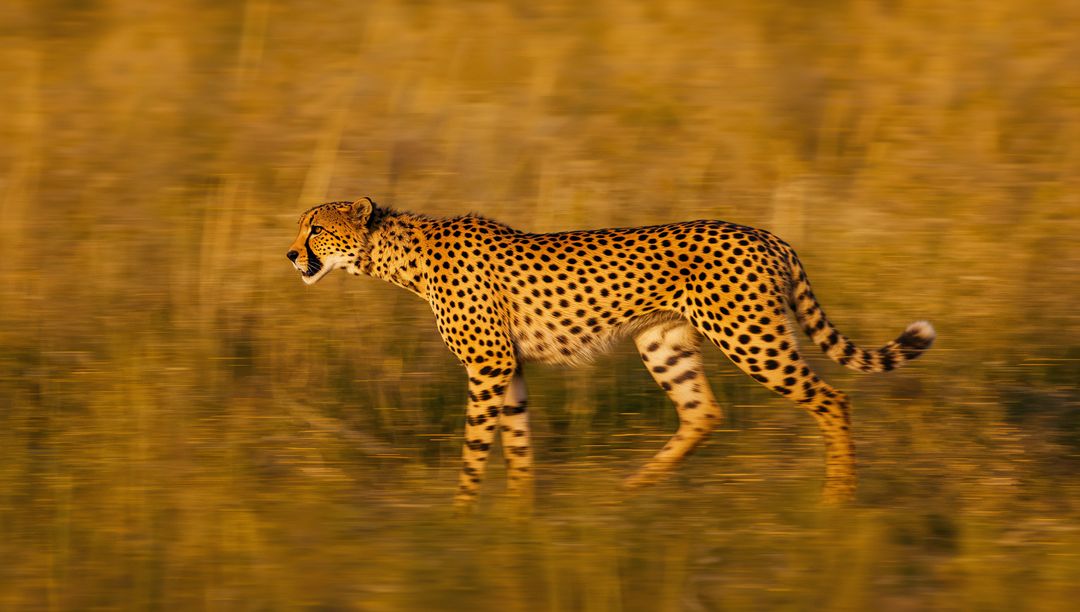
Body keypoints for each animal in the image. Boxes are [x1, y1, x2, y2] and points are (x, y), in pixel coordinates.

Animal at [287, 197, 935, 506]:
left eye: (315, 229)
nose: (291, 254)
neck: (400, 256)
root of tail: (768, 234)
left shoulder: (488, 365)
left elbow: (475, 447)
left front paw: (461, 516)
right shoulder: (509, 367)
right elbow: (517, 444)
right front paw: (517, 521)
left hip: (751, 337)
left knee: (832, 398)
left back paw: (837, 500)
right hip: (663, 341)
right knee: (703, 412)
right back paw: (632, 491)